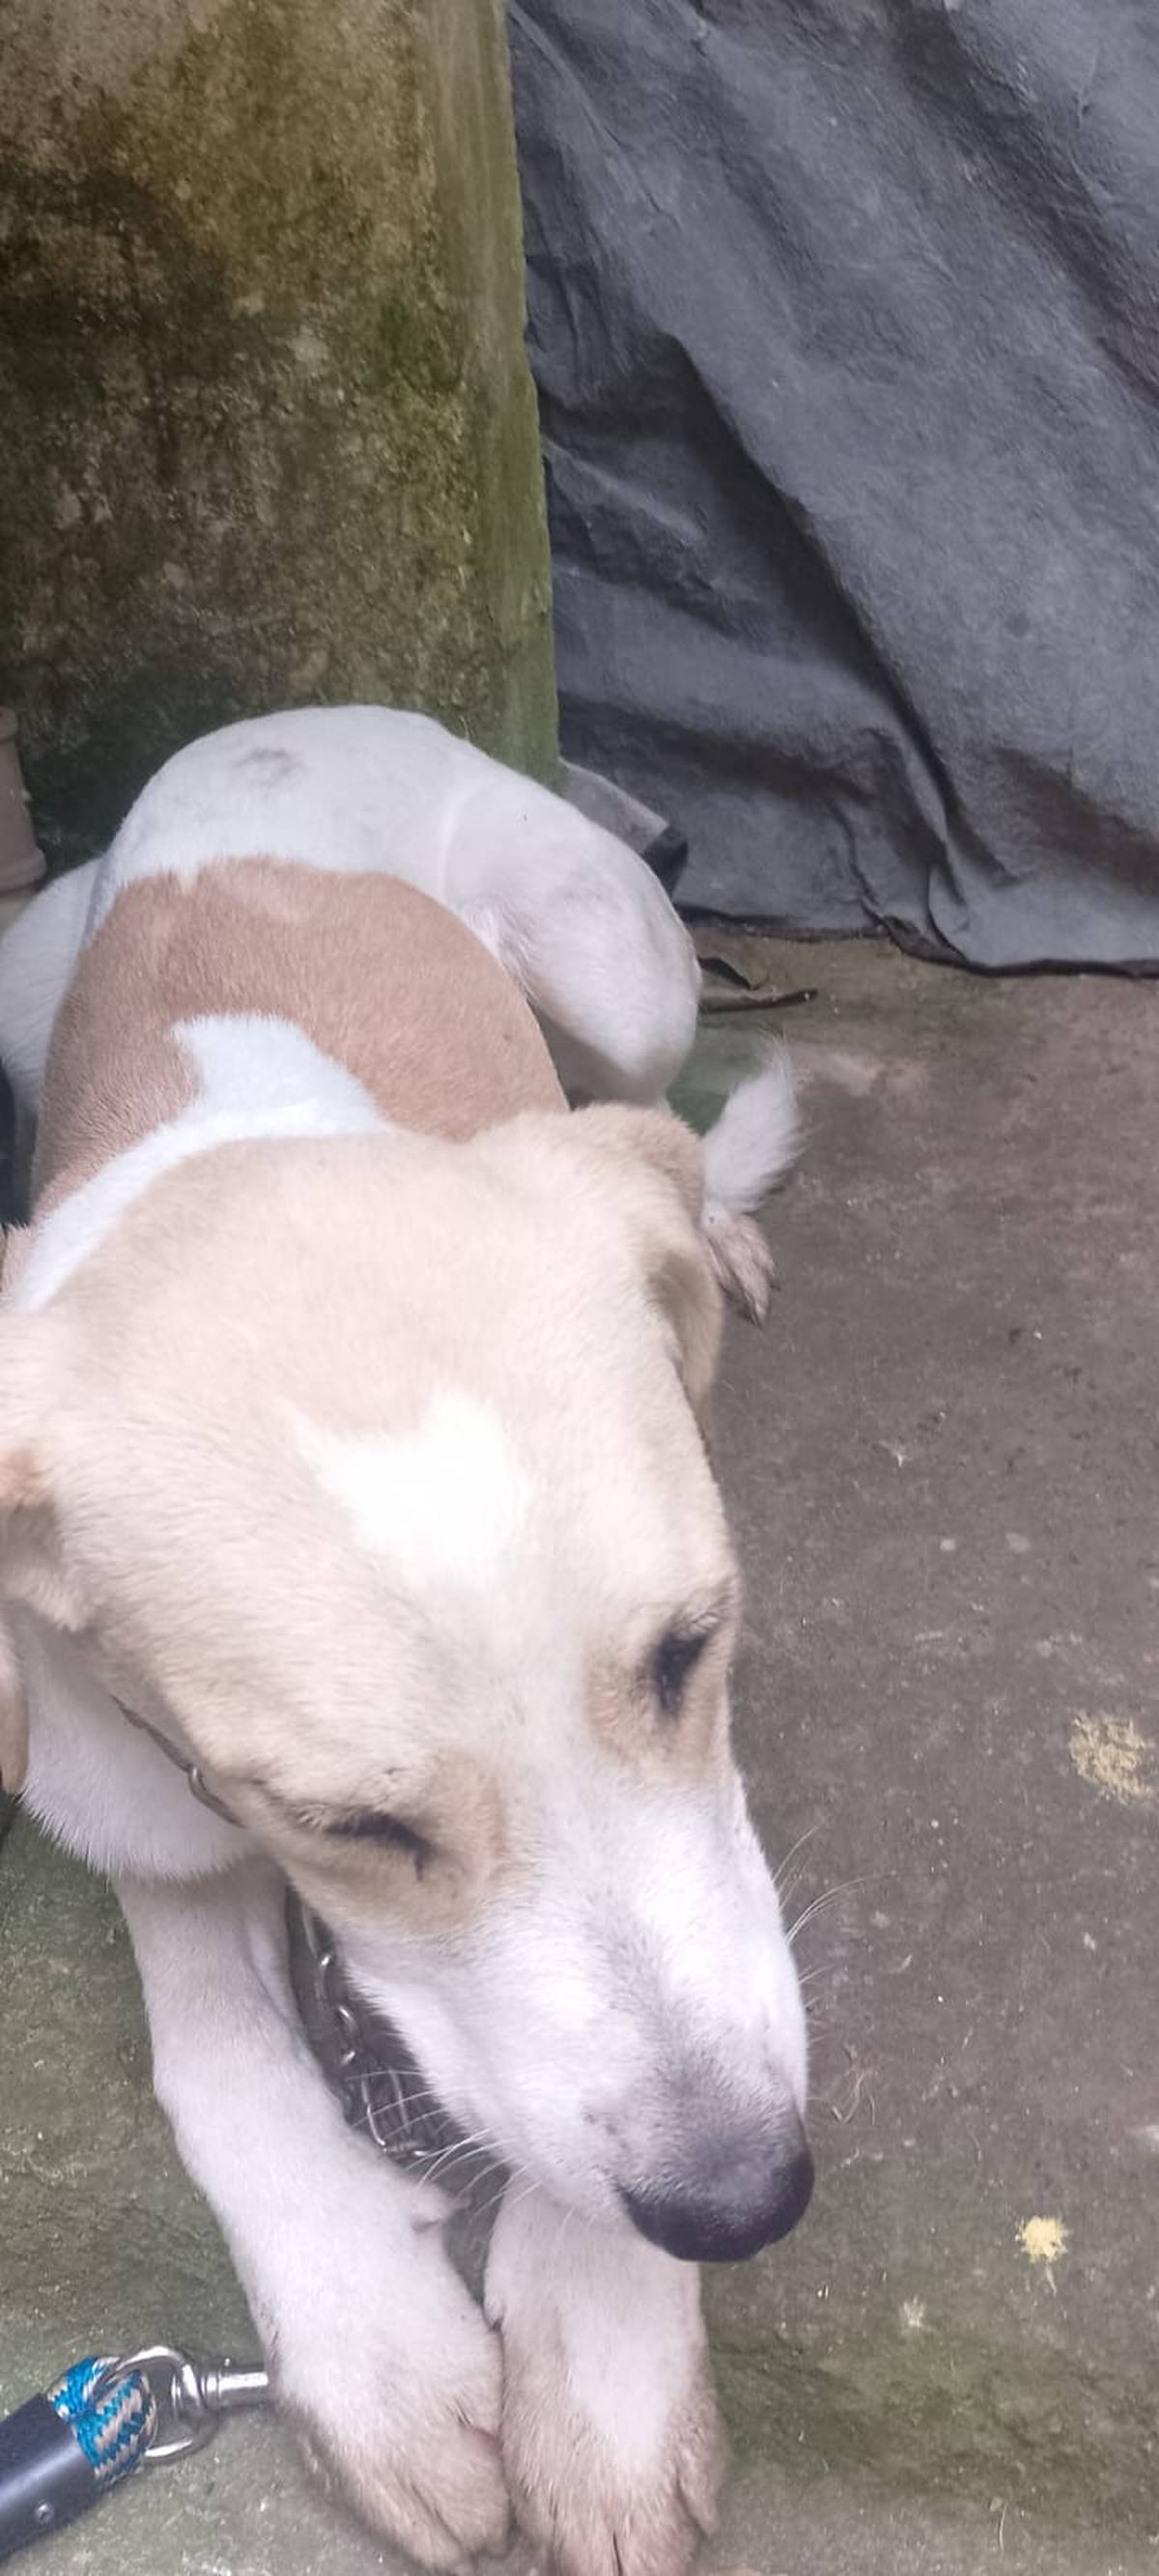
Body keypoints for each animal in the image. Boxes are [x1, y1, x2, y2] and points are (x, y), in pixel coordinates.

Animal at [0, 711, 809, 2576]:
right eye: (348, 1825)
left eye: (691, 1647)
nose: (749, 2202)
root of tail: (288, 723)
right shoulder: (133, 1802)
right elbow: (223, 2066)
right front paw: (375, 2347)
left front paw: (603, 2362)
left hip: (614, 953)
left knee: (658, 1104)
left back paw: (713, 1229)